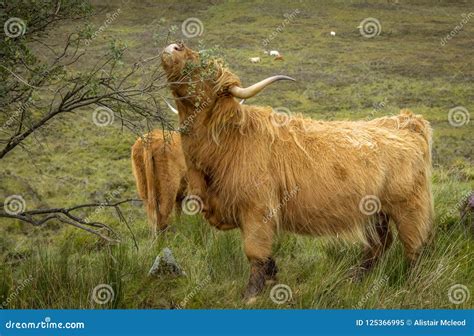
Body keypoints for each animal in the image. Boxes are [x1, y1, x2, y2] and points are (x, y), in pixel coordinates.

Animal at [160, 42, 434, 302]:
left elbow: (254, 250)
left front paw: (251, 294)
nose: (176, 45)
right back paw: (355, 278)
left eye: (205, 68)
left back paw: (411, 284)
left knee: (413, 245)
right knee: (380, 243)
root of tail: (406, 122)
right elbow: (265, 252)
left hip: (408, 206)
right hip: (376, 210)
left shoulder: (257, 209)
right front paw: (271, 276)